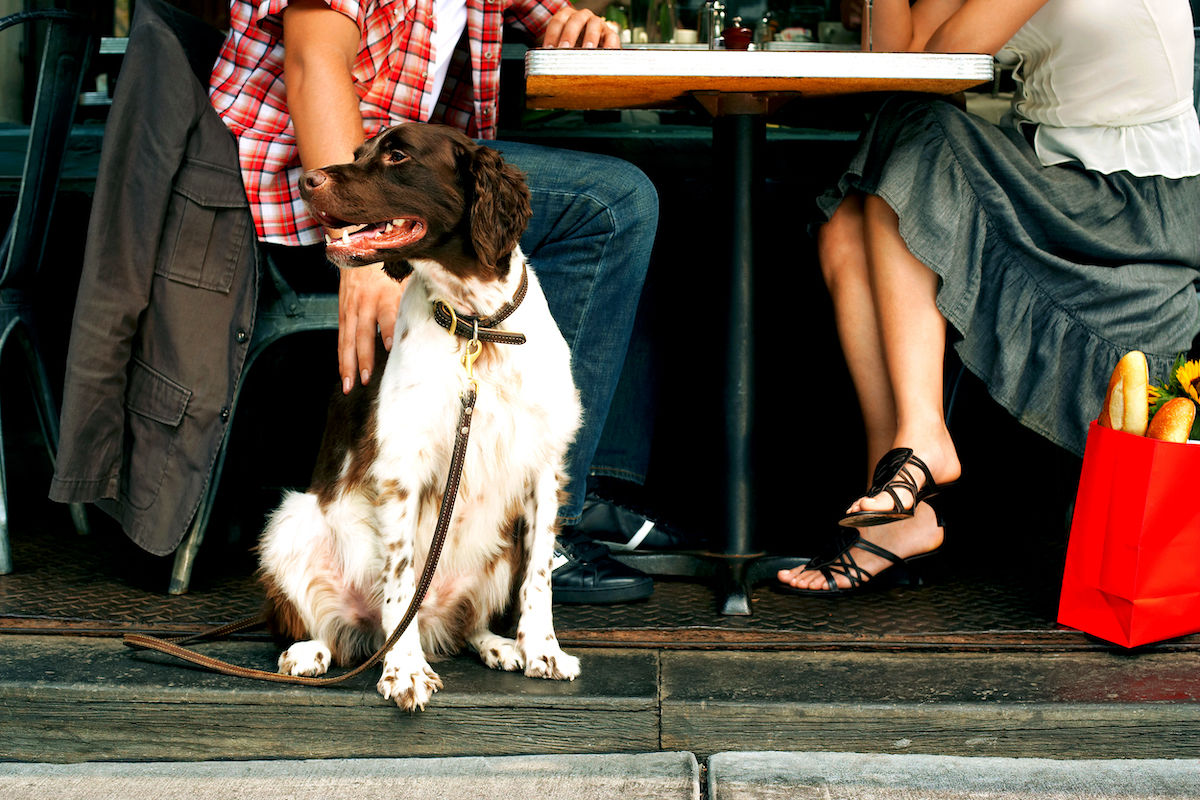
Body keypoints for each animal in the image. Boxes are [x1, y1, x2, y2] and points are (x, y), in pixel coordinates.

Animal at [256, 122, 580, 710]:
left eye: (397, 156)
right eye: (358, 152)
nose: (306, 179)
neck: (478, 326)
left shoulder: (546, 467)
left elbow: (540, 576)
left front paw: (542, 650)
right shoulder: (402, 471)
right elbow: (403, 579)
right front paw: (404, 669)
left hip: (499, 552)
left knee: (464, 624)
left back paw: (498, 645)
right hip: (291, 522)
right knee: (330, 629)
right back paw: (310, 653)